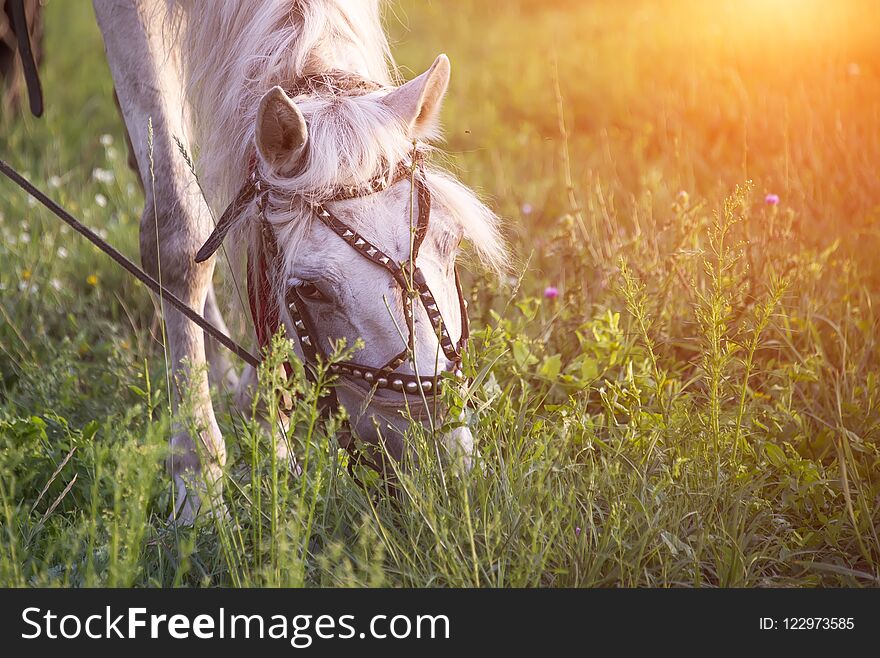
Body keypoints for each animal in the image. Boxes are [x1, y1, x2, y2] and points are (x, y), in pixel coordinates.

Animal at [91, 1, 502, 524]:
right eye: (311, 290)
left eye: (451, 245)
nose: (440, 462)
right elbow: (178, 237)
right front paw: (199, 479)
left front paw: (265, 420)